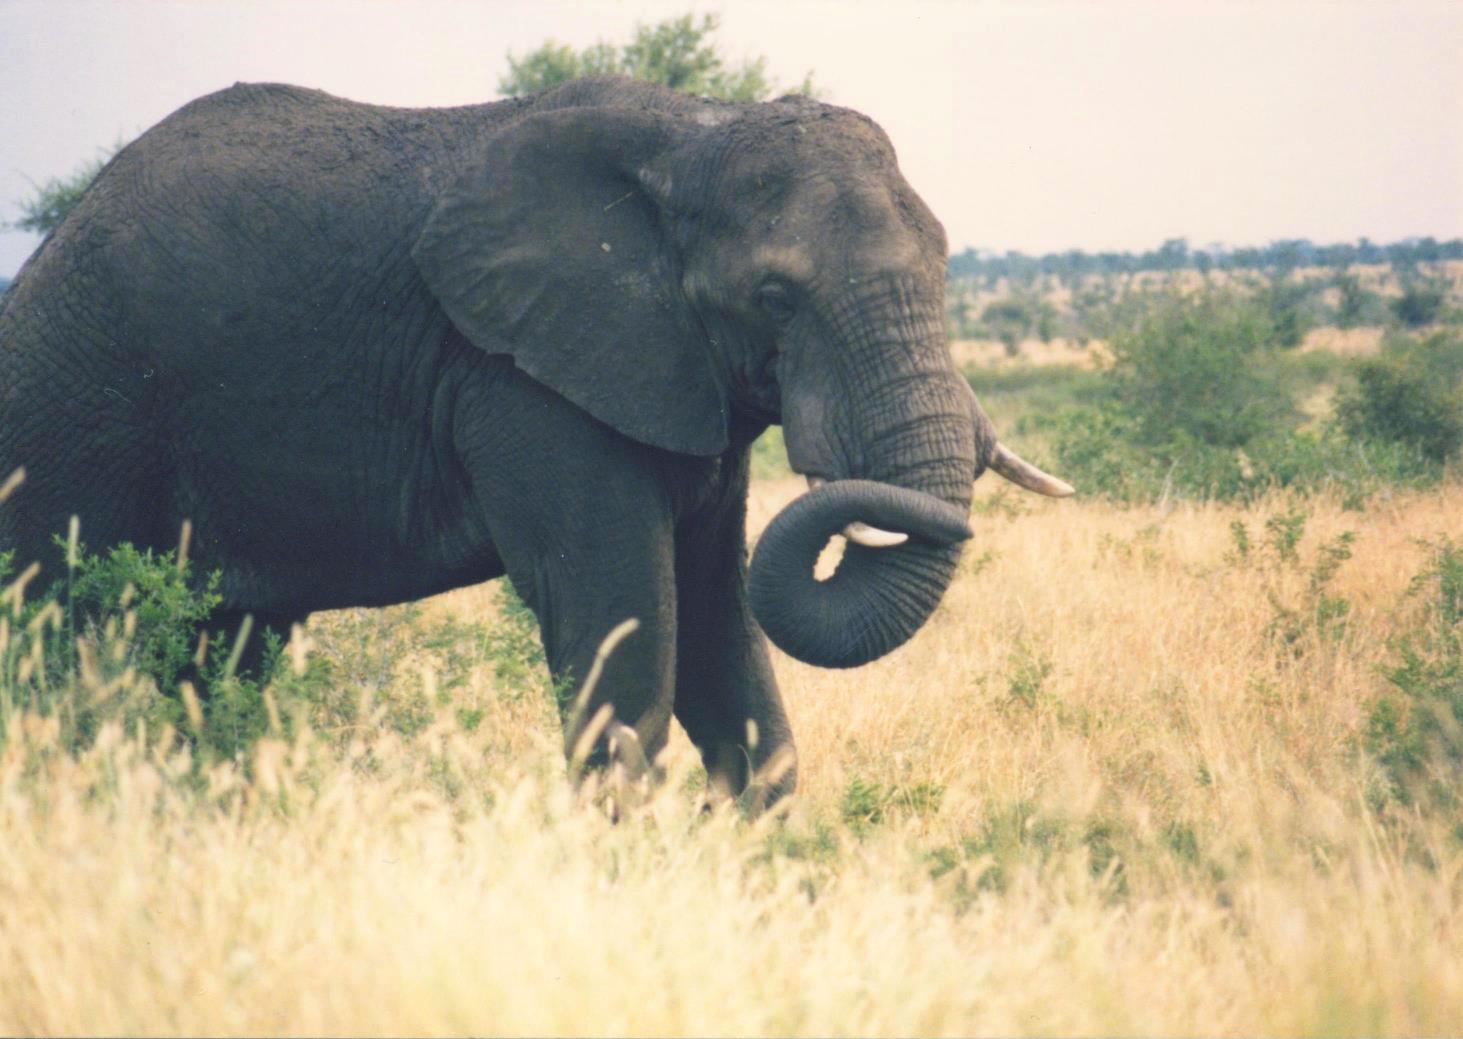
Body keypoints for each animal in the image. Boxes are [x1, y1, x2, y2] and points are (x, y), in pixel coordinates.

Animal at [0, 76, 1070, 805]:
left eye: (946, 260)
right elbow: (623, 644)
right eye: (774, 296)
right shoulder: (520, 380)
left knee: (220, 655)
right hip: (72, 412)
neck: (687, 135)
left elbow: (726, 645)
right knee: (57, 642)